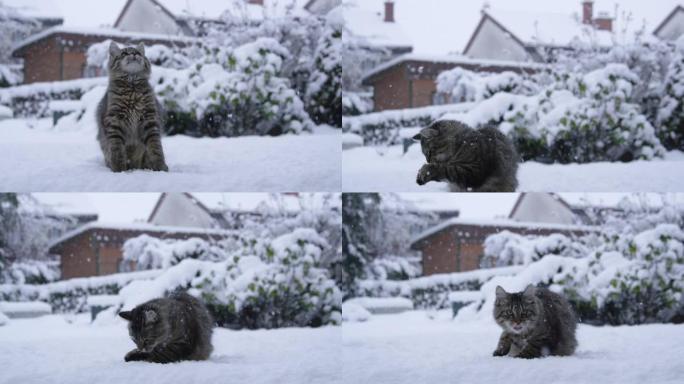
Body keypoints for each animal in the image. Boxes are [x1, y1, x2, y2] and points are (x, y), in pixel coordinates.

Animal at [96, 41, 168, 172]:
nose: (134, 54)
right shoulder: (115, 120)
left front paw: (160, 167)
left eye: (138, 53)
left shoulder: (150, 120)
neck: (132, 86)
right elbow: (117, 148)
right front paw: (119, 168)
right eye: (124, 53)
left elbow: (155, 147)